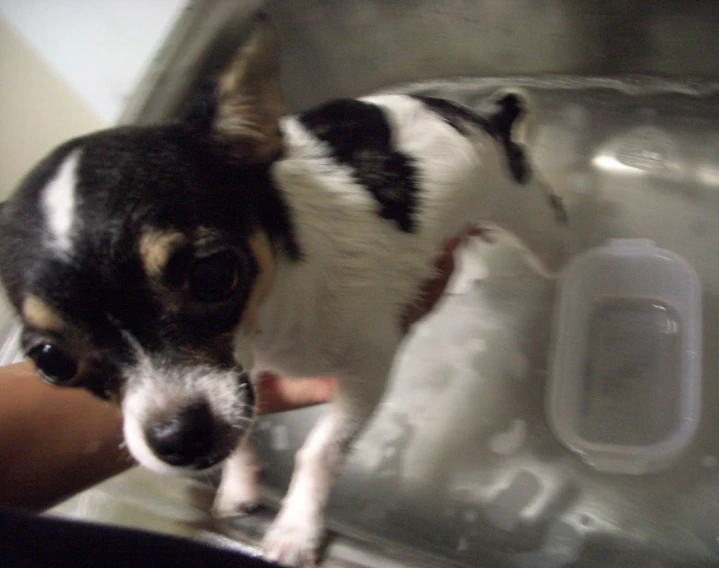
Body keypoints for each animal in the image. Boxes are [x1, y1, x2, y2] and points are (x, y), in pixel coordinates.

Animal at [0, 14, 568, 568]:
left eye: (214, 275)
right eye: (52, 362)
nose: (177, 439)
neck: (267, 328)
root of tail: (483, 118)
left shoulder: (366, 370)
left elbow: (319, 450)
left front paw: (296, 528)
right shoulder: (242, 383)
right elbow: (245, 430)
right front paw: (239, 484)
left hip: (533, 222)